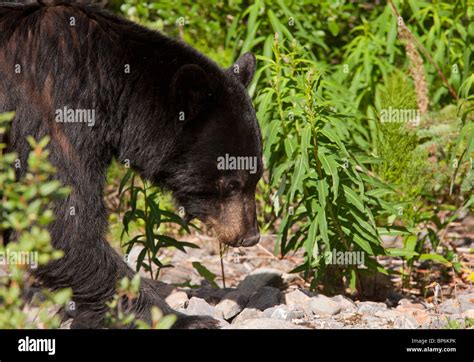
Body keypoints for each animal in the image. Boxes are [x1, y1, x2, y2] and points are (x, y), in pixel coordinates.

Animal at [0, 0, 262, 328]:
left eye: (257, 177)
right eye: (231, 182)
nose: (250, 235)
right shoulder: (54, 100)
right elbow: (62, 220)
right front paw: (183, 318)